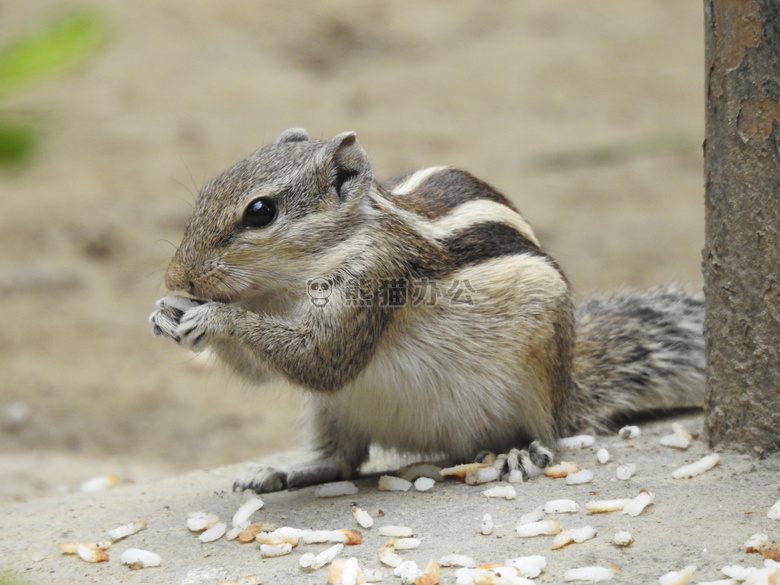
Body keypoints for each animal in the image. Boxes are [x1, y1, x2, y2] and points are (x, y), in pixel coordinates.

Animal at [149, 129, 704, 492]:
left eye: (260, 212)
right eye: (204, 192)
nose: (177, 278)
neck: (280, 289)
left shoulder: (374, 278)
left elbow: (322, 360)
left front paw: (216, 319)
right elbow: (272, 371)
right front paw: (164, 313)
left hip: (542, 365)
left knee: (553, 432)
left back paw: (522, 451)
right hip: (332, 413)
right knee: (344, 461)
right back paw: (289, 471)